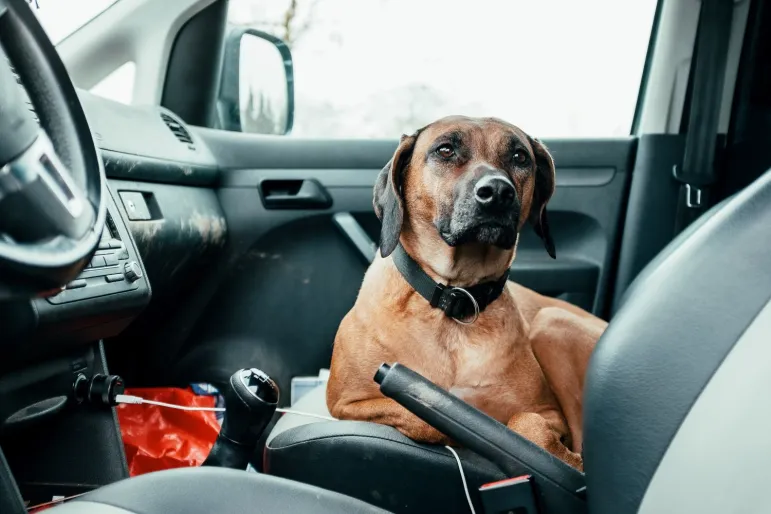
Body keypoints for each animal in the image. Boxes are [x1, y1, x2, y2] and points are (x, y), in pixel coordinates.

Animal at [326, 116, 604, 468]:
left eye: (519, 157)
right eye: (445, 150)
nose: (497, 192)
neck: (455, 299)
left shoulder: (548, 413)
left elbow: (527, 424)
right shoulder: (347, 402)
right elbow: (423, 413)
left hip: (552, 322)